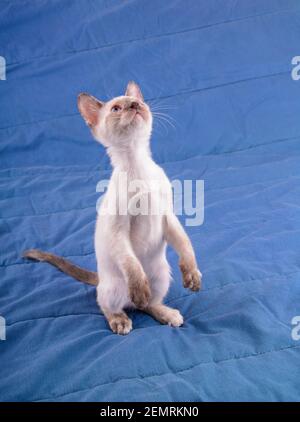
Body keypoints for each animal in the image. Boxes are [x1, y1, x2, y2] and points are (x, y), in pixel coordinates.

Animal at [23, 81, 202, 332]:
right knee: (111, 305)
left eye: (137, 102)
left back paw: (166, 313)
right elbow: (132, 265)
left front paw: (193, 276)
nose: (135, 104)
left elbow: (185, 244)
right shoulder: (117, 230)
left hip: (161, 276)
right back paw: (122, 318)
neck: (137, 164)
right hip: (115, 287)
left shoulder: (167, 215)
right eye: (117, 108)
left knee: (148, 304)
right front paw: (139, 288)